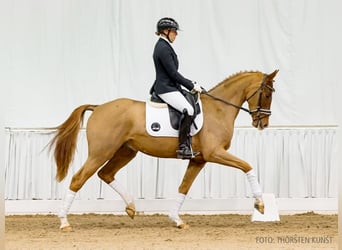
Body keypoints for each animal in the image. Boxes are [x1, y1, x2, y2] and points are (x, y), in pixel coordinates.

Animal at [50, 70, 278, 230]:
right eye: (267, 94)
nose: (263, 123)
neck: (218, 109)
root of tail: (98, 107)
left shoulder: (199, 159)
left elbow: (183, 187)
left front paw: (177, 220)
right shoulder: (214, 153)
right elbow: (247, 166)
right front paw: (260, 204)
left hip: (126, 151)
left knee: (105, 174)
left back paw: (131, 207)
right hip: (101, 152)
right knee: (78, 179)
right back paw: (64, 222)